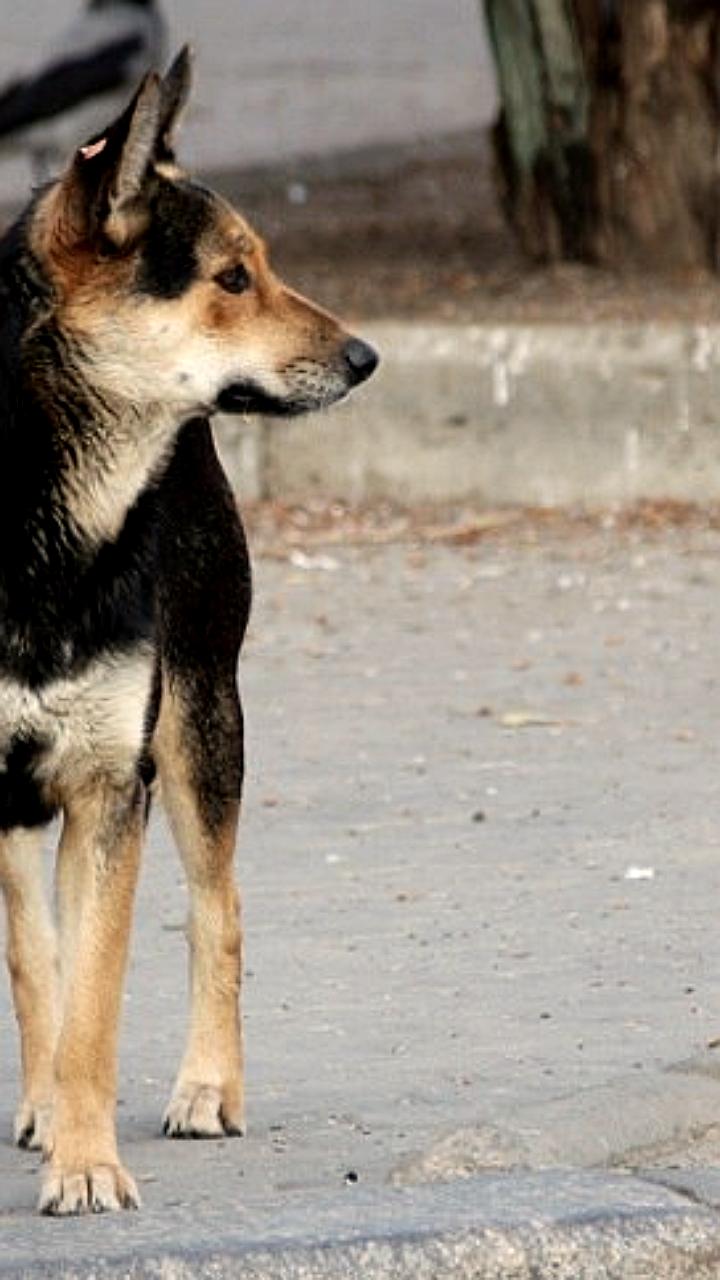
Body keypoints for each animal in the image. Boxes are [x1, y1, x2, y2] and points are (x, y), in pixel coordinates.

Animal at [0, 45, 379, 1213]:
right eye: (231, 278)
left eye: (259, 265)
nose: (366, 356)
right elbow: (40, 965)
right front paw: (58, 1124)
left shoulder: (109, 783)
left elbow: (95, 998)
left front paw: (87, 1161)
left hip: (198, 721)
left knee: (220, 906)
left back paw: (208, 1085)